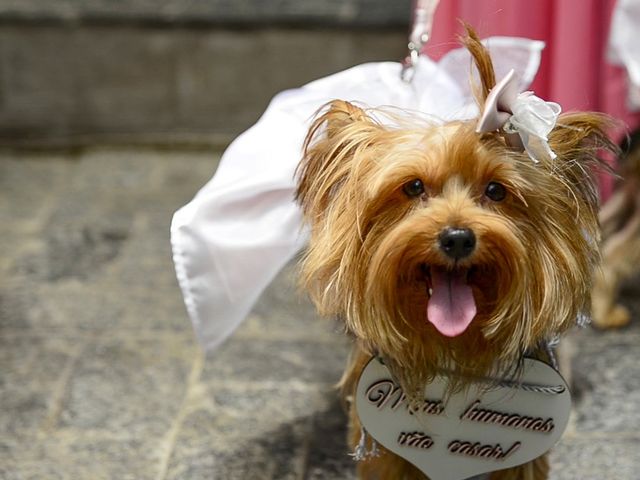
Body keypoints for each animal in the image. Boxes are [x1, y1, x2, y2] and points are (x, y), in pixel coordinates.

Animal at [294, 28, 616, 478]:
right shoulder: (383, 447)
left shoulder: (523, 457)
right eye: (413, 187)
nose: (458, 238)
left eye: (496, 191)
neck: (453, 349)